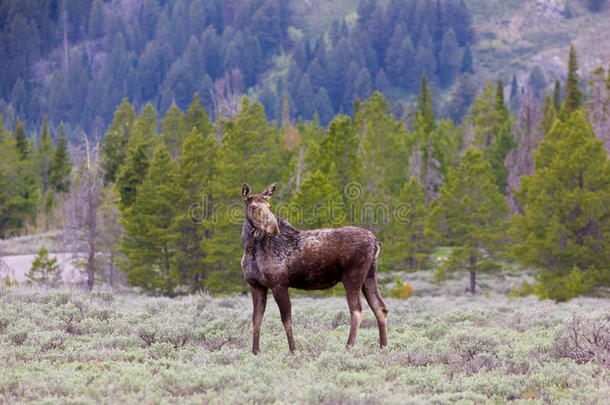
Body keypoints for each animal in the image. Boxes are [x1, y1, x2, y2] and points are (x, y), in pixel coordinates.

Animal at [239, 181, 388, 352]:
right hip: (369, 277)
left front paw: (293, 350)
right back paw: (383, 347)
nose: (273, 228)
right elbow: (256, 320)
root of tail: (376, 241)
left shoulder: (279, 284)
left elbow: (286, 319)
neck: (251, 250)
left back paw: (348, 347)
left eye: (269, 206)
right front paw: (255, 351)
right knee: (380, 308)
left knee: (357, 310)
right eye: (253, 207)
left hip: (352, 277)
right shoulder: (256, 286)